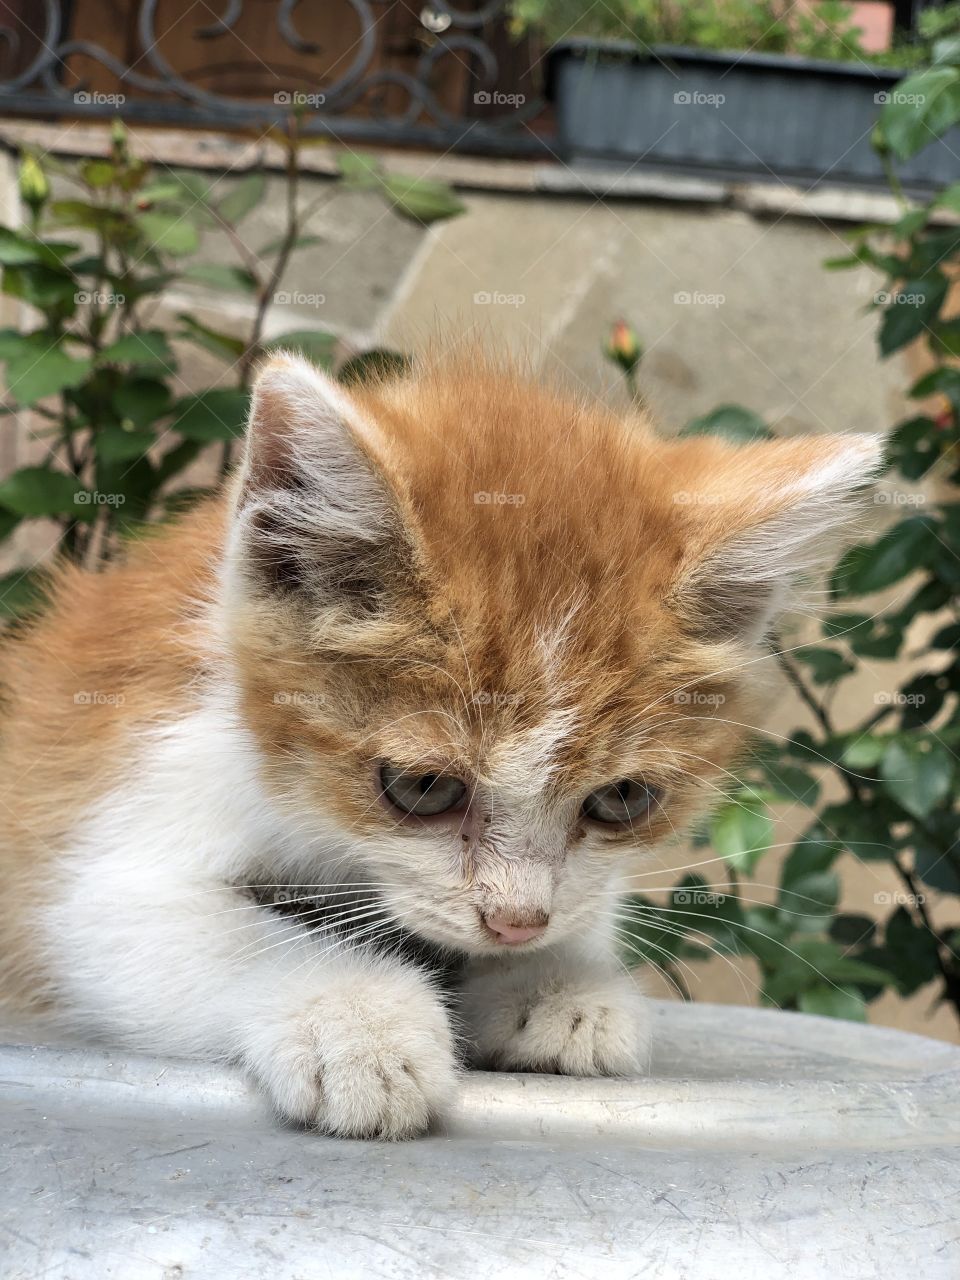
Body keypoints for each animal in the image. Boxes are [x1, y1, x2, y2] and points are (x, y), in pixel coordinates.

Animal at [0, 353, 880, 1141]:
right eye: (424, 788)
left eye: (623, 799)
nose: (515, 923)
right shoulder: (138, 803)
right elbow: (149, 925)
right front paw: (358, 1017)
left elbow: (581, 910)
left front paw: (558, 985)